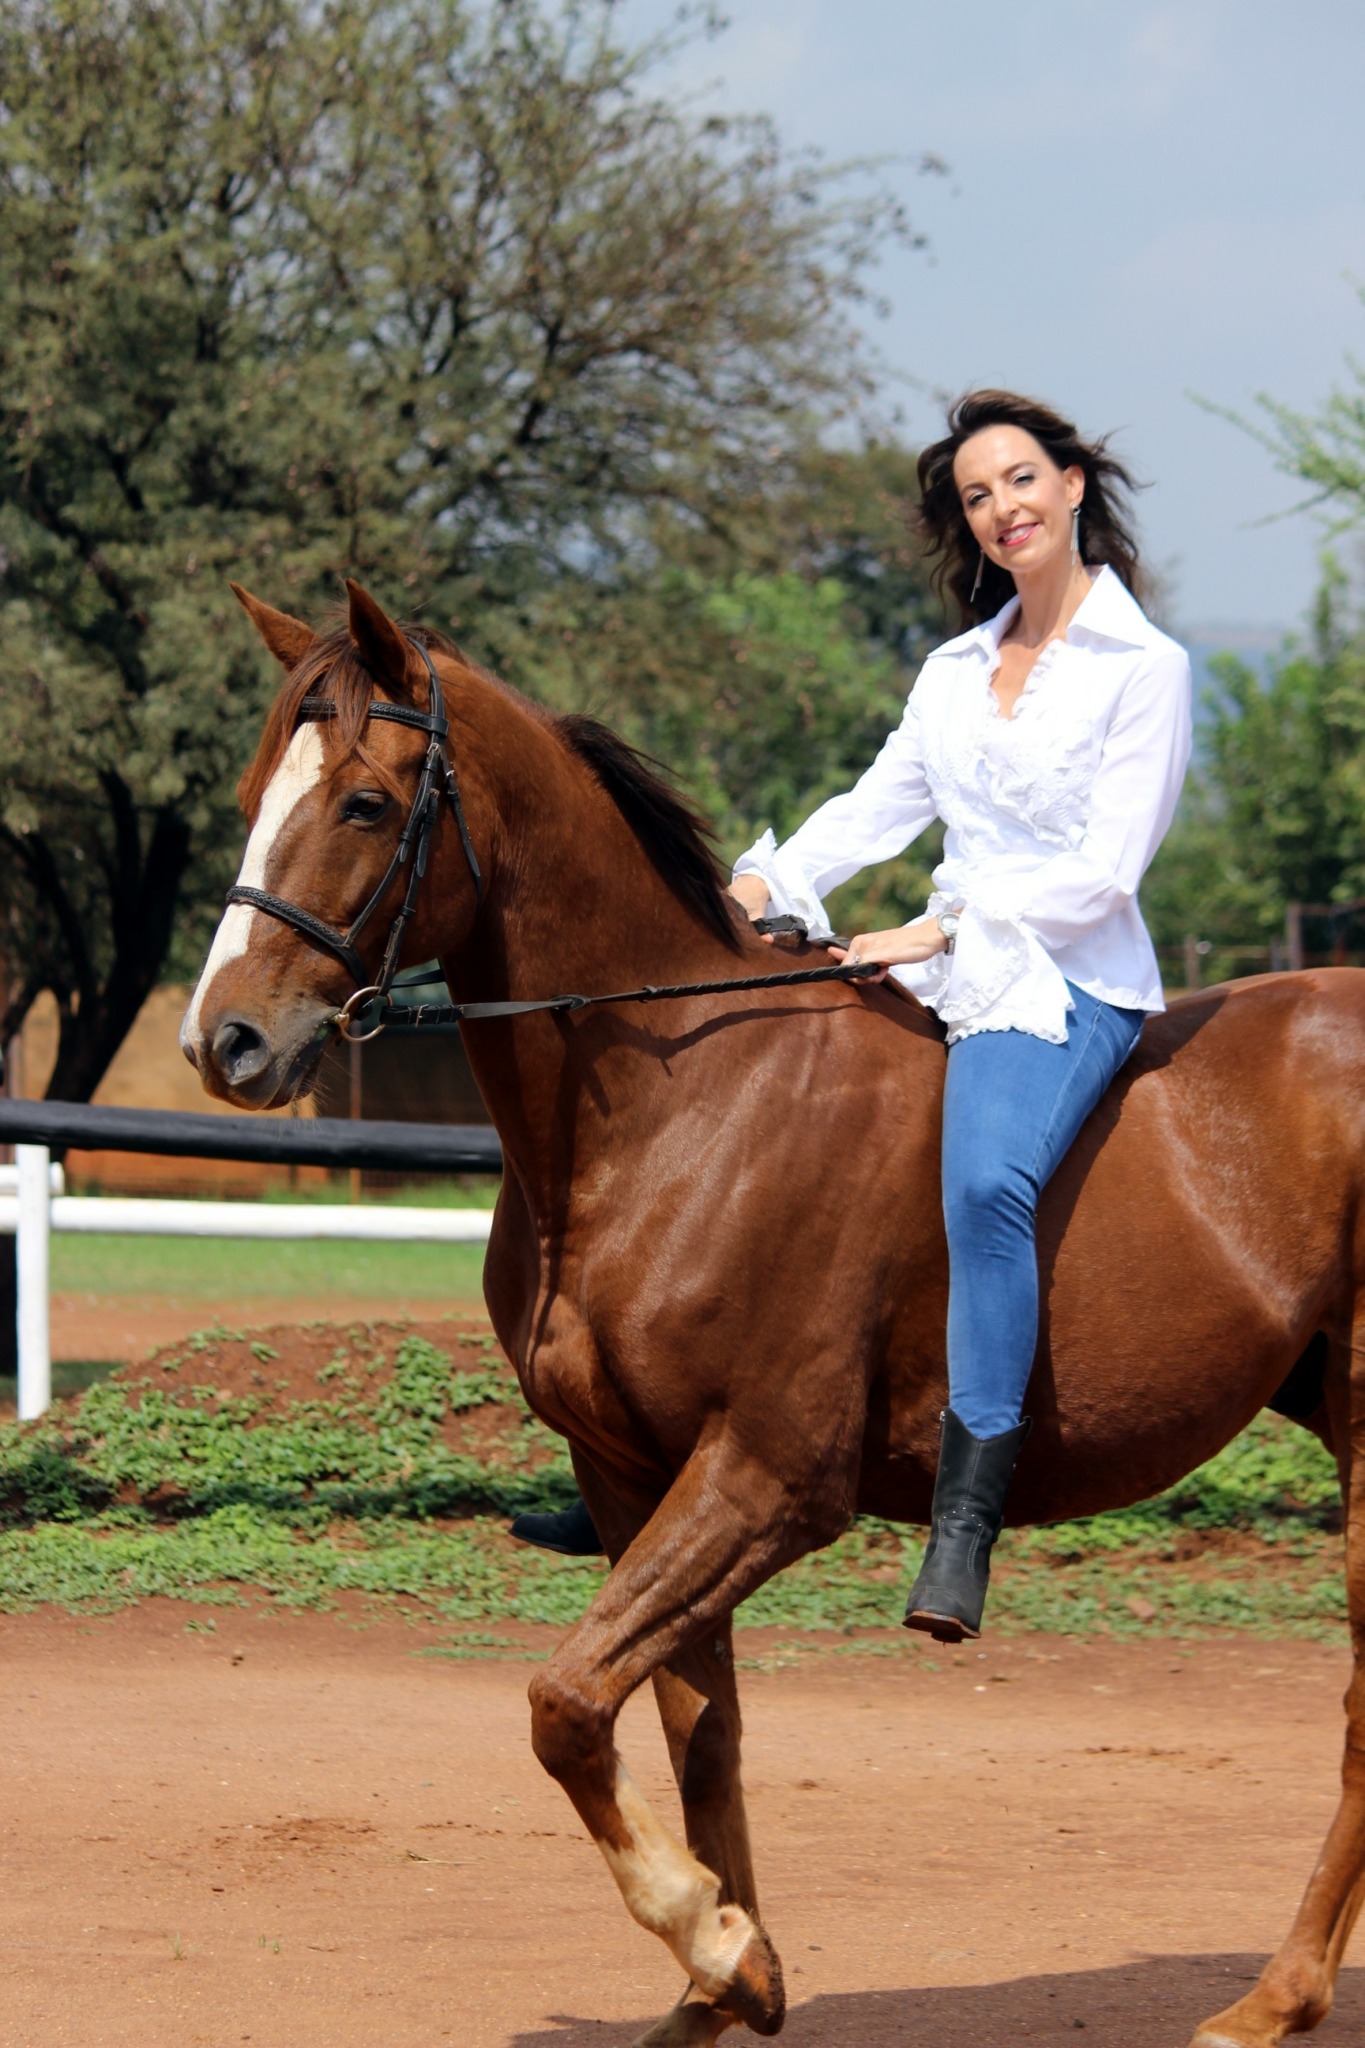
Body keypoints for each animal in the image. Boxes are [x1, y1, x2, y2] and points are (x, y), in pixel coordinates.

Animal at [181, 578, 1365, 2048]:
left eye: (361, 801)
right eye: (250, 791)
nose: (224, 1043)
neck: (677, 1107)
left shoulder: (767, 1476)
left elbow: (565, 1702)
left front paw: (716, 1936)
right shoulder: (632, 1474)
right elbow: (692, 1728)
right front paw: (725, 1979)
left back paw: (1269, 2000)